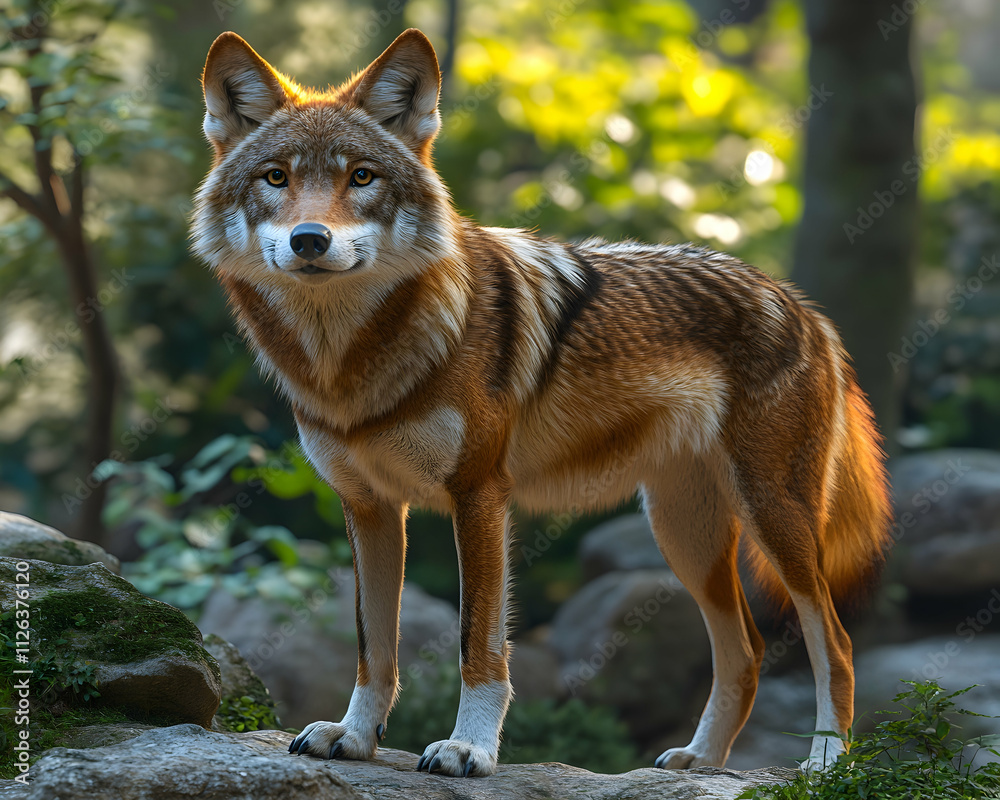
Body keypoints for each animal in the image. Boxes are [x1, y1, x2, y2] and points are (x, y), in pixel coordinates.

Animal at [192, 28, 891, 777]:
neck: (350, 363)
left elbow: (478, 643)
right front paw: (353, 736)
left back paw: (825, 764)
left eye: (362, 178)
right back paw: (700, 760)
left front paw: (469, 747)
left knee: (836, 642)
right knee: (749, 652)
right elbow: (372, 648)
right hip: (684, 535)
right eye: (276, 179)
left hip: (772, 519)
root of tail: (800, 304)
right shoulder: (369, 507)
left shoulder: (479, 496)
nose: (310, 240)